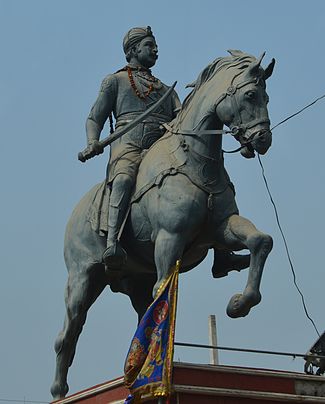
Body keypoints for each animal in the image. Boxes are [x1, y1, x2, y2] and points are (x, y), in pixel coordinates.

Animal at [50, 49, 274, 398]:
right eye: (251, 94)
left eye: (267, 96)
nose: (263, 139)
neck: (194, 160)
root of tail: (76, 214)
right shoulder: (170, 239)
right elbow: (164, 289)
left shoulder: (221, 228)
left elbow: (261, 241)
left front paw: (240, 303)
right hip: (82, 278)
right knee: (69, 331)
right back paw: (59, 391)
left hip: (134, 281)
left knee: (143, 309)